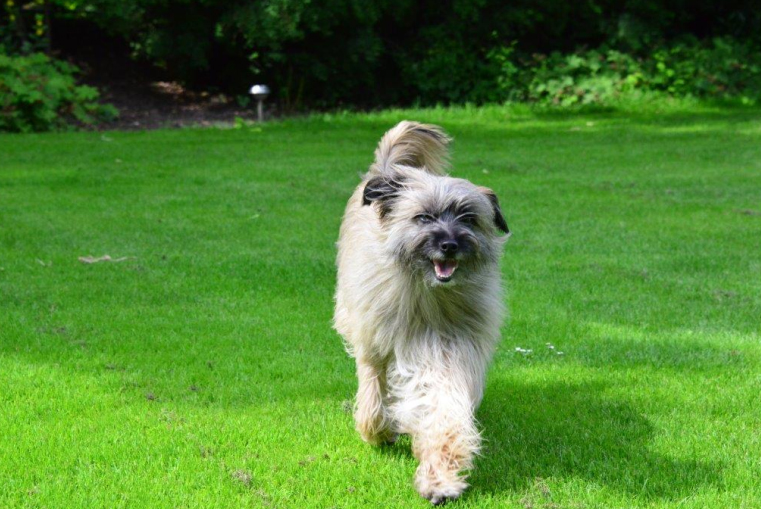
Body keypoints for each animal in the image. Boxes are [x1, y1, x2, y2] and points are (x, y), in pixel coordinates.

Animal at [333, 121, 510, 504]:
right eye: (424, 217)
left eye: (468, 218)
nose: (449, 245)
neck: (428, 297)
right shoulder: (375, 341)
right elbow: (372, 390)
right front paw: (378, 430)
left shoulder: (452, 348)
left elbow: (443, 409)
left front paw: (440, 478)